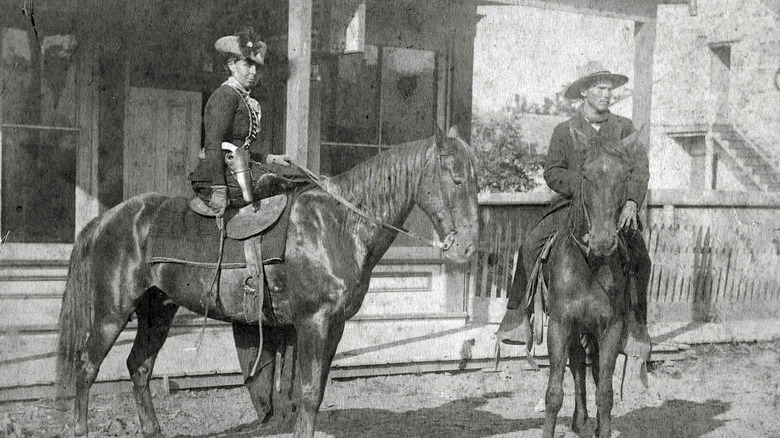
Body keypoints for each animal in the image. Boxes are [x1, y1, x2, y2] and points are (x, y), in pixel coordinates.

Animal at [54, 128, 478, 436]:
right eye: (456, 179)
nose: (470, 246)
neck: (337, 223)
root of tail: (106, 219)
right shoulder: (313, 322)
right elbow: (308, 393)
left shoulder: (334, 326)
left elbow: (313, 390)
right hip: (111, 313)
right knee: (87, 367)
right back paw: (79, 429)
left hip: (157, 311)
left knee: (139, 366)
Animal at [544, 131, 640, 438]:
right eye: (585, 174)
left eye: (625, 175)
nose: (602, 241)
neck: (589, 264)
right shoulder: (560, 325)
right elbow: (553, 394)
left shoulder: (611, 328)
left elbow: (605, 393)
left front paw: (603, 427)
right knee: (576, 364)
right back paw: (580, 418)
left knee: (593, 369)